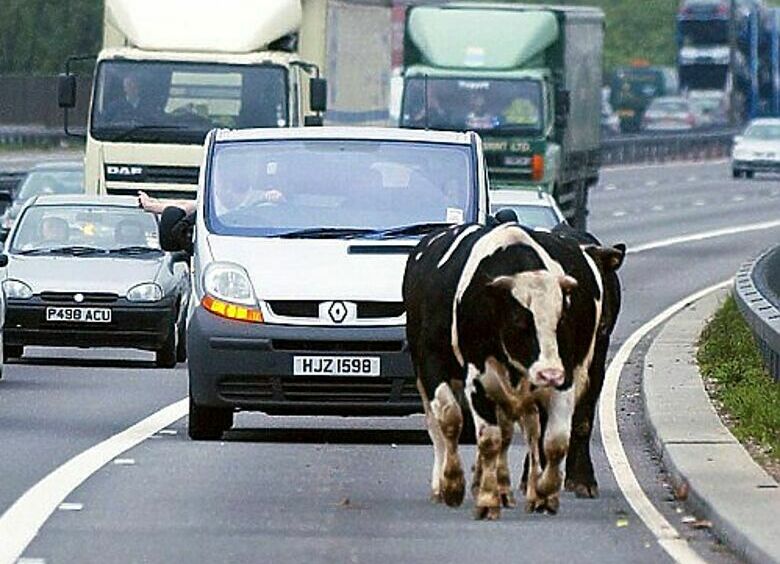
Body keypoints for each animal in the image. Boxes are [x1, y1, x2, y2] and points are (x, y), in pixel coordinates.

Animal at [402, 224, 616, 520]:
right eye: (518, 320)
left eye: (562, 319)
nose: (549, 374)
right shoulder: (467, 377)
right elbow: (462, 425)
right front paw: (463, 490)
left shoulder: (565, 377)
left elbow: (555, 440)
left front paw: (544, 494)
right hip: (428, 373)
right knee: (441, 427)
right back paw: (446, 485)